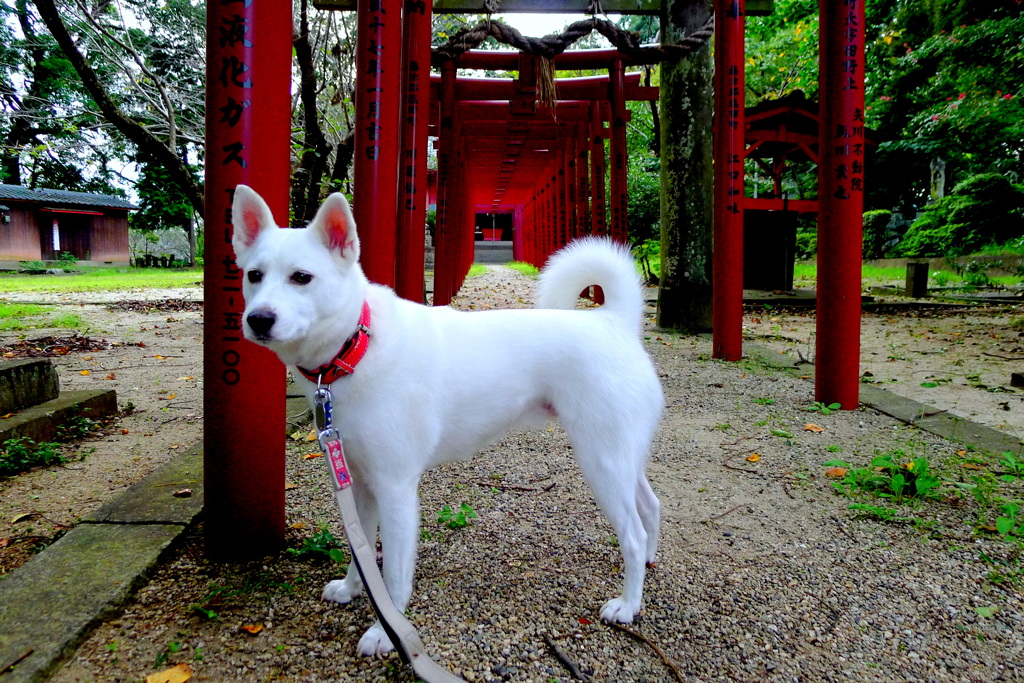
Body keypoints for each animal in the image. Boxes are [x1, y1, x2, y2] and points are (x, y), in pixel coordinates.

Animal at [231, 185, 663, 655]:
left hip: (601, 461)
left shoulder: (396, 489)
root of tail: (613, 321)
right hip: (619, 458)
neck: (357, 348)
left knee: (633, 533)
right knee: (649, 508)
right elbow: (361, 554)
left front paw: (385, 631)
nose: (258, 319)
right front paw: (351, 589)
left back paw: (628, 605)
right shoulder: (360, 482)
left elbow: (393, 574)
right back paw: (649, 562)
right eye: (254, 276)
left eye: (301, 277)